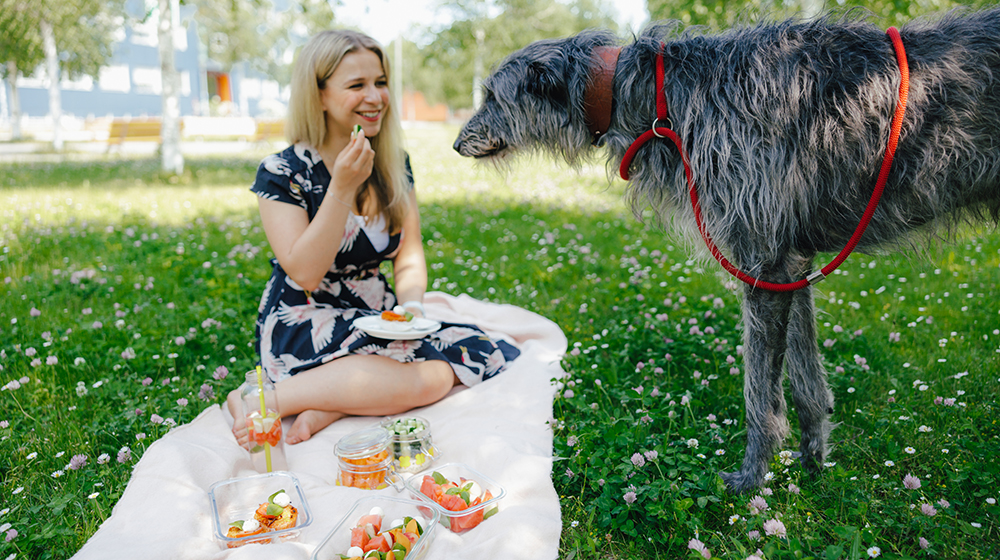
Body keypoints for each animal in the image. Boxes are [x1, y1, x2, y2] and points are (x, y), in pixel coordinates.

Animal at [454, 7, 1000, 490]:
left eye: (492, 95)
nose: (457, 144)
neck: (654, 95)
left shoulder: (766, 264)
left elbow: (761, 393)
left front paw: (752, 478)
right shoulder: (792, 264)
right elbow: (806, 382)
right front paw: (813, 462)